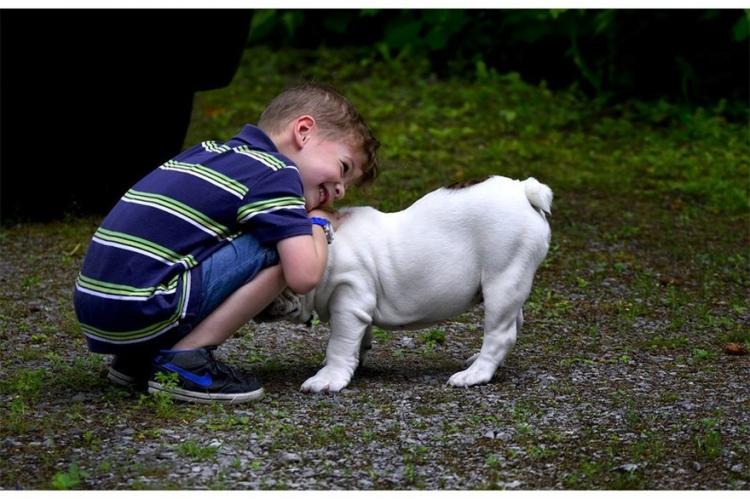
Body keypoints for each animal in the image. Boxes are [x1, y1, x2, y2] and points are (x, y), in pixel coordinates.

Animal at [262, 177, 552, 394]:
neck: (323, 247)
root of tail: (524, 191)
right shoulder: (358, 308)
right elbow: (359, 338)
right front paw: (357, 360)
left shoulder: (348, 301)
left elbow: (339, 343)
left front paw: (328, 377)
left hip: (503, 277)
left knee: (500, 333)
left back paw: (475, 374)